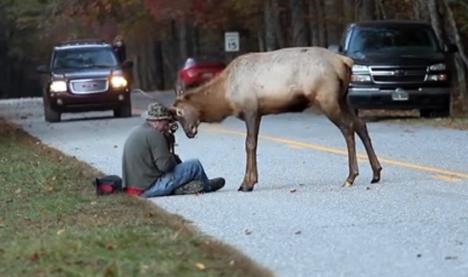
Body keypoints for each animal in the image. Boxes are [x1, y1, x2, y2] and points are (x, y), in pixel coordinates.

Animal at [170, 46, 382, 191]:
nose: (189, 132)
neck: (225, 97)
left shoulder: (250, 109)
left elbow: (249, 144)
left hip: (327, 98)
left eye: (179, 112)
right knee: (360, 124)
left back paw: (351, 177)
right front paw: (251, 180)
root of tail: (345, 62)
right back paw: (376, 173)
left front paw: (246, 183)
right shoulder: (258, 113)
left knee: (348, 128)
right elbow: (254, 144)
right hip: (343, 97)